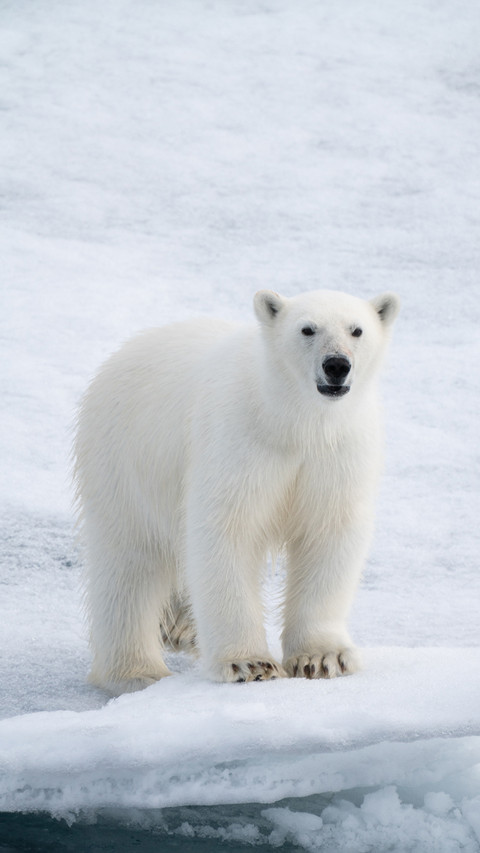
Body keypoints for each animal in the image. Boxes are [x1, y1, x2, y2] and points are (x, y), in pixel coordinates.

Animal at [74, 288, 399, 693]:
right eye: (307, 329)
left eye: (357, 330)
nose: (336, 365)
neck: (293, 420)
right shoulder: (239, 440)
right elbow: (228, 529)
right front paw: (249, 663)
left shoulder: (336, 454)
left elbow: (328, 533)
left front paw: (324, 657)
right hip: (124, 460)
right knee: (129, 563)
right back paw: (137, 671)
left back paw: (181, 628)